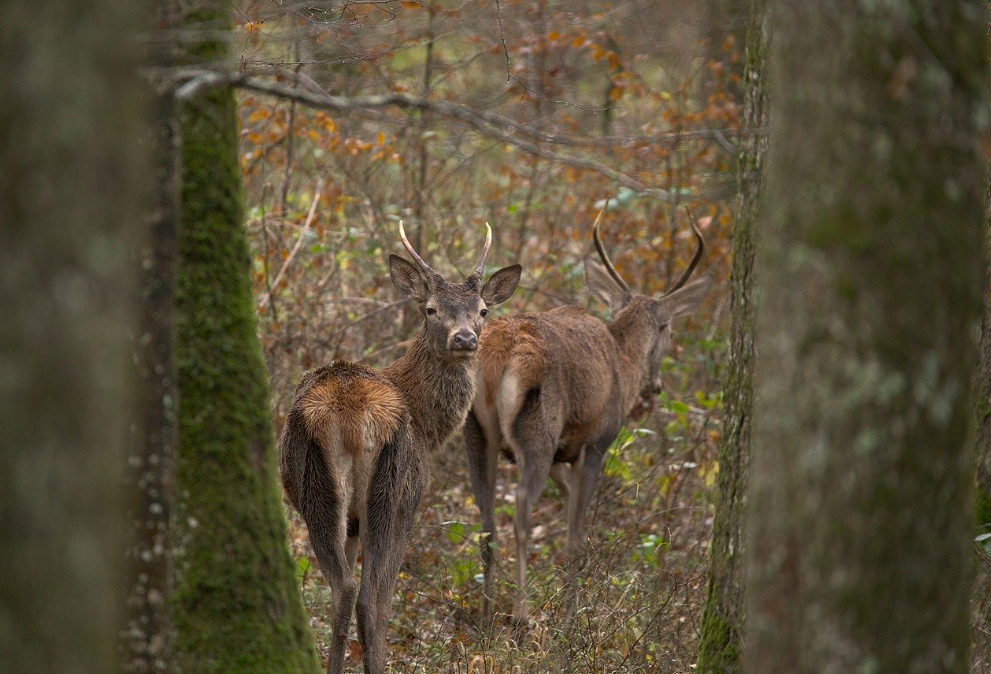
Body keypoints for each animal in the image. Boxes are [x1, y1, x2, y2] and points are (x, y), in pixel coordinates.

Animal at [280, 222, 524, 672]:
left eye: (483, 310)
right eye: (430, 309)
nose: (464, 338)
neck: (428, 425)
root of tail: (350, 414)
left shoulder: (353, 522)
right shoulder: (411, 502)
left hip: (326, 494)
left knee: (343, 587)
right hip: (389, 491)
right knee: (368, 597)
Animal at [464, 211, 712, 624]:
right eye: (668, 328)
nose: (656, 386)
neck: (624, 364)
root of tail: (500, 351)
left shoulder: (564, 452)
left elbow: (568, 509)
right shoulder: (595, 442)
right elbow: (575, 535)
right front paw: (572, 612)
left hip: (476, 432)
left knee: (486, 522)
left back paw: (484, 615)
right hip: (537, 430)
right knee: (520, 513)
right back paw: (522, 613)